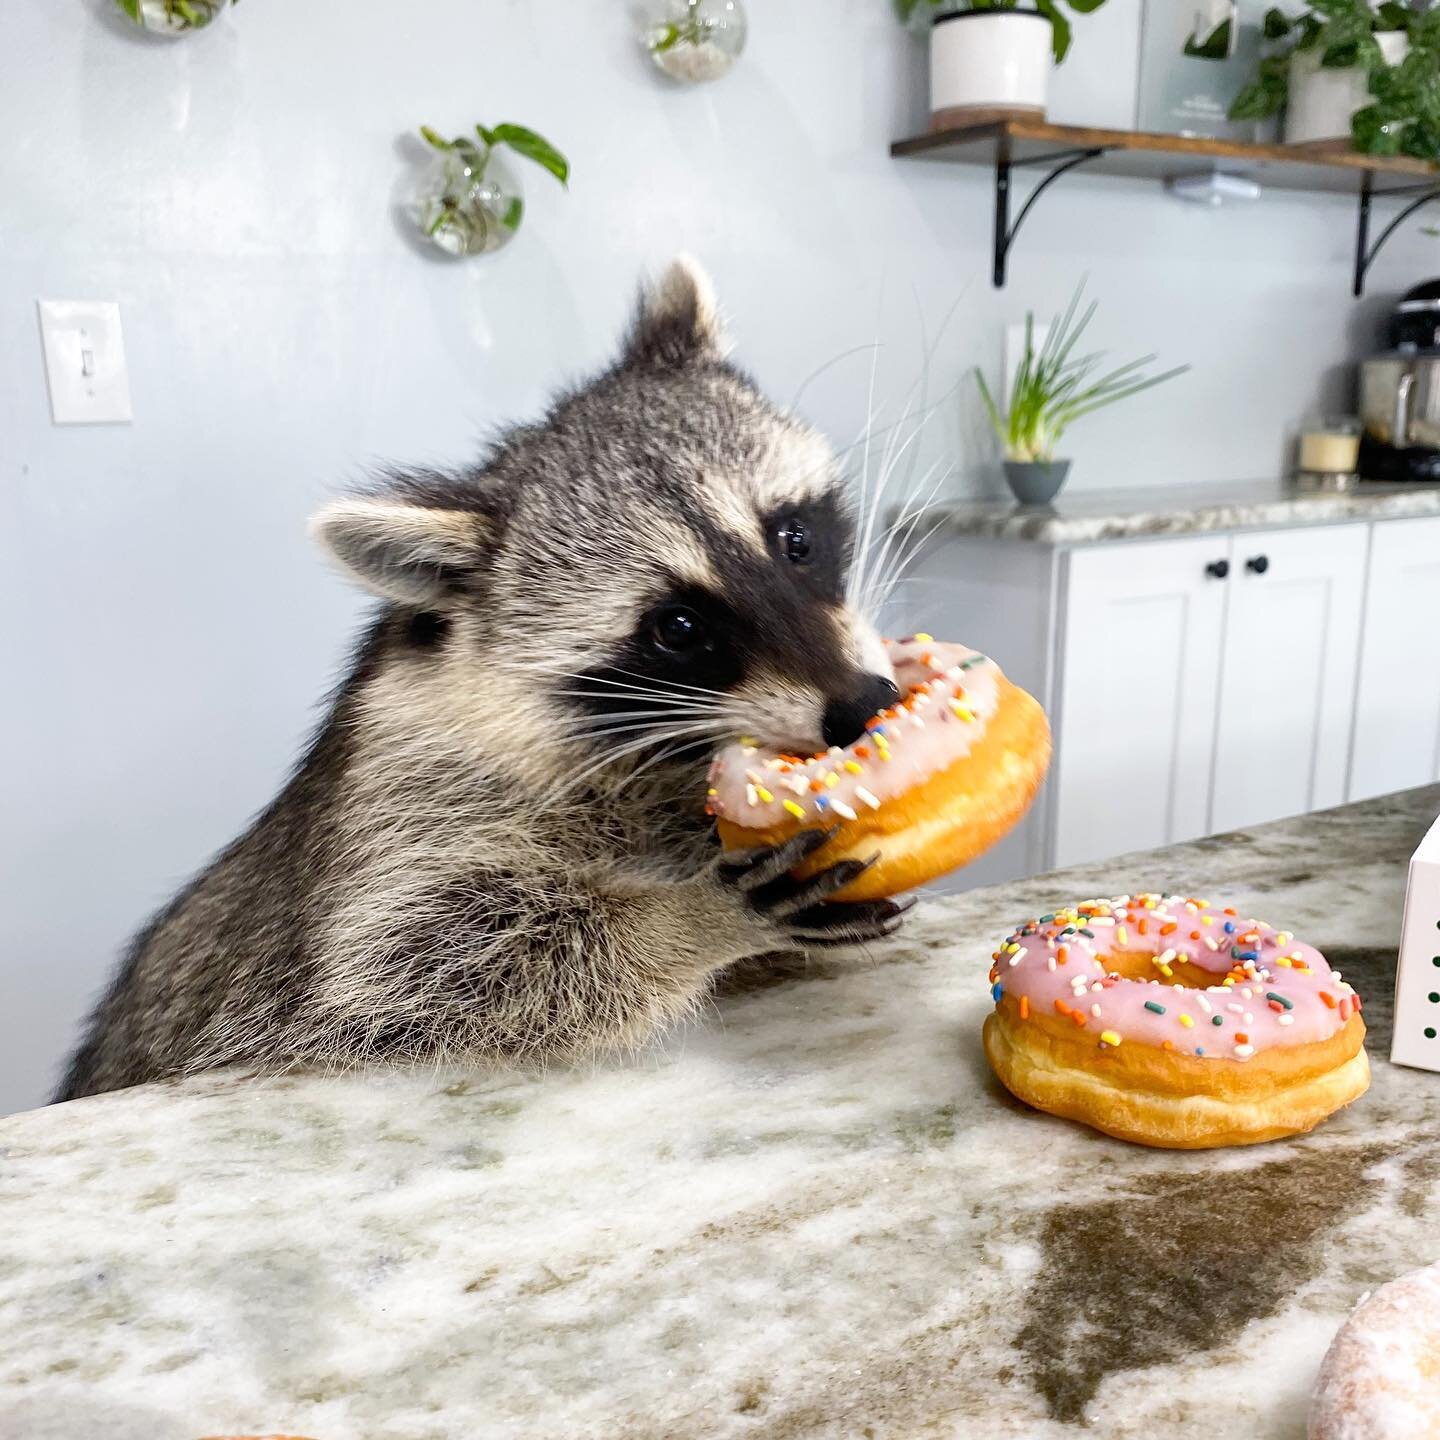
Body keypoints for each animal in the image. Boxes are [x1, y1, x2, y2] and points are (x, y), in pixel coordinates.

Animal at [61, 259, 910, 1094]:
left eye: (795, 539)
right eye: (677, 629)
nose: (864, 705)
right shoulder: (402, 798)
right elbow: (413, 958)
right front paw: (688, 919)